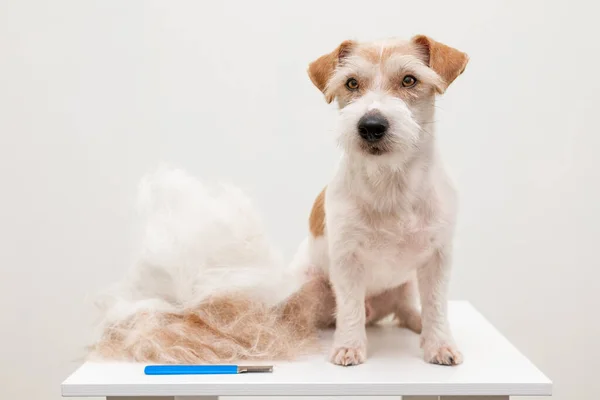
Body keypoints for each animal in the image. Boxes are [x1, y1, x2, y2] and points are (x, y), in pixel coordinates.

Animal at [292, 36, 472, 368]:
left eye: (409, 80)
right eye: (351, 83)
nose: (371, 125)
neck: (391, 182)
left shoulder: (438, 257)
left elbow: (436, 305)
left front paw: (440, 343)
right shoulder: (347, 259)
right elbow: (349, 306)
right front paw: (349, 345)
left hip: (407, 283)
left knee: (405, 310)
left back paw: (417, 322)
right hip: (307, 286)